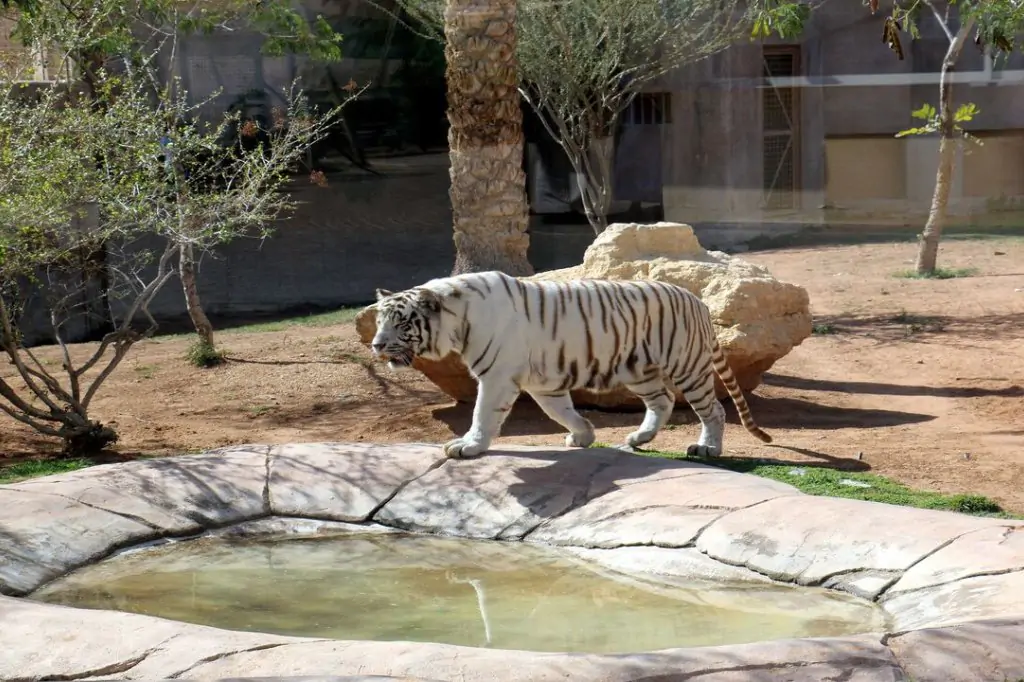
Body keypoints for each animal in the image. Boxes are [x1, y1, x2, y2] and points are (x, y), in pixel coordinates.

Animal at [372, 270, 770, 456]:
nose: (376, 345)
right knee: (663, 401)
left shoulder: (497, 377)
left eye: (402, 323)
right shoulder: (542, 382)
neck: (458, 323)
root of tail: (697, 300)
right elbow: (561, 411)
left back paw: (708, 448)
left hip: (686, 366)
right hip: (639, 369)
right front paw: (583, 436)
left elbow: (482, 414)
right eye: (379, 320)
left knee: (713, 410)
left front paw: (468, 446)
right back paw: (638, 437)